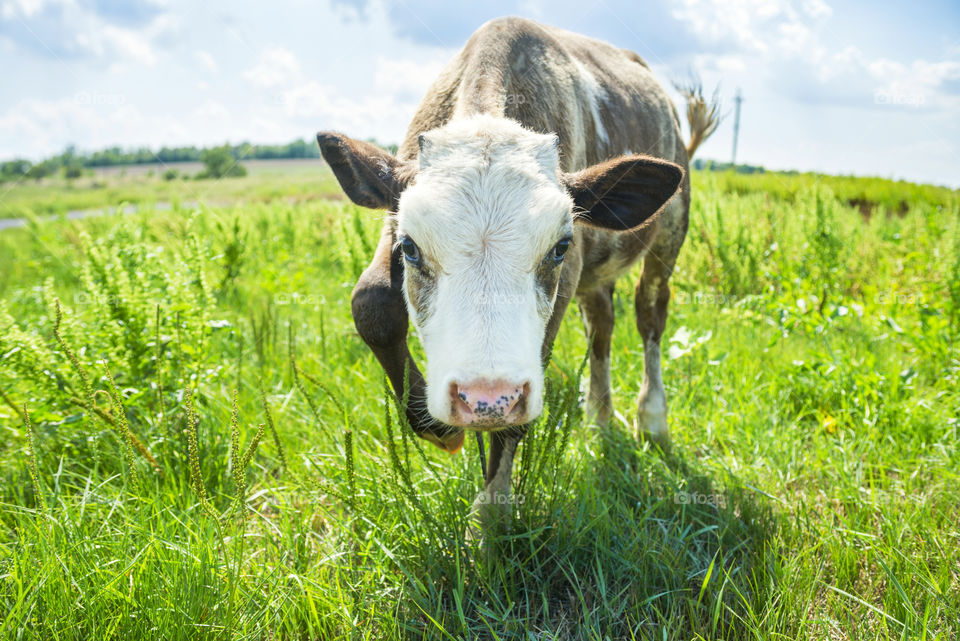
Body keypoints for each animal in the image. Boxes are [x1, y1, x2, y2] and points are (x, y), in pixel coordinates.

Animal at [318, 17, 716, 524]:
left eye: (559, 247)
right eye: (410, 248)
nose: (483, 399)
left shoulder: (564, 283)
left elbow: (517, 415)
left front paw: (489, 517)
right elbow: (369, 301)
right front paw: (433, 425)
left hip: (670, 230)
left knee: (650, 312)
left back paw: (652, 419)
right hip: (599, 271)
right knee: (602, 324)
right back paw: (599, 418)